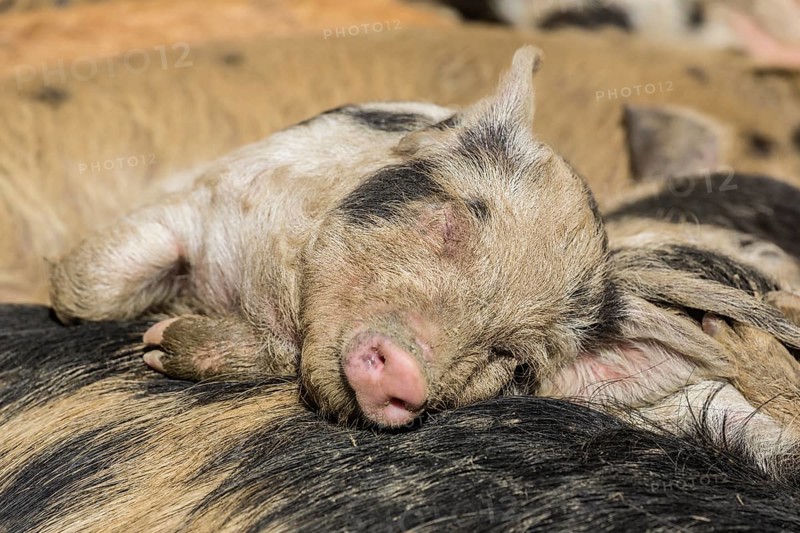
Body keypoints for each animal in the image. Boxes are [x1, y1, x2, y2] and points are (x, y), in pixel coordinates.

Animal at [50, 48, 800, 476]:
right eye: (451, 225)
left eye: (510, 356)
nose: (407, 371)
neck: (265, 293)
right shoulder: (209, 198)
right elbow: (86, 289)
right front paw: (146, 343)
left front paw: (161, 345)